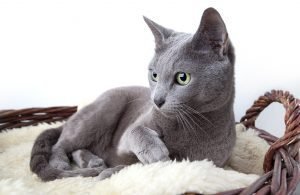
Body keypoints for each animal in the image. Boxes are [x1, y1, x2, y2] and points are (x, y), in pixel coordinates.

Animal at [31, 7, 237, 181]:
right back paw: (64, 163)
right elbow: (134, 132)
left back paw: (94, 162)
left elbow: (132, 166)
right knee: (62, 143)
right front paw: (155, 152)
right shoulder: (126, 139)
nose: (156, 100)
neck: (187, 125)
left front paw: (109, 172)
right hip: (105, 108)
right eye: (154, 75)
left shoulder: (210, 163)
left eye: (182, 78)